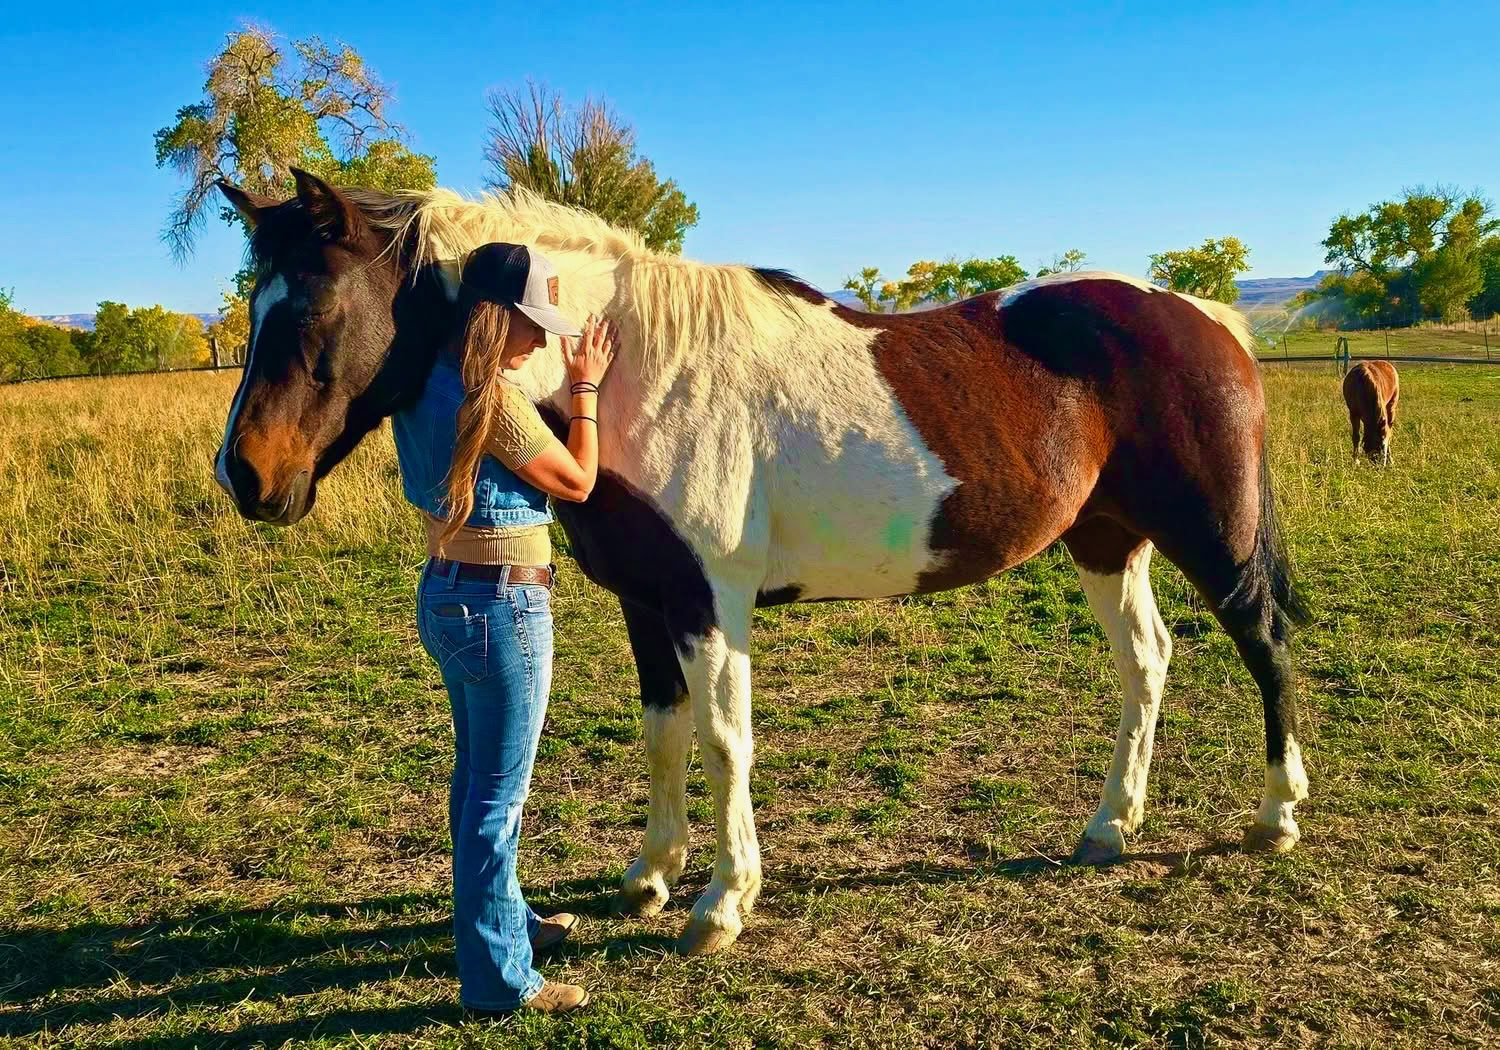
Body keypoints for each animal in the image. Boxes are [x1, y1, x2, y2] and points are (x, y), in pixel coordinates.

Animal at [212, 169, 1311, 955]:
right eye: (254, 308)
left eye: (310, 312)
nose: (246, 477)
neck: (634, 367)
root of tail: (1208, 316)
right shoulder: (647, 603)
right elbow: (662, 730)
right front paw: (652, 874)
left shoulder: (713, 603)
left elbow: (723, 739)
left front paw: (721, 904)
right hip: (1106, 540)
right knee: (1146, 663)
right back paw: (1110, 827)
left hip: (1209, 534)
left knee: (1261, 644)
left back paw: (1275, 815)